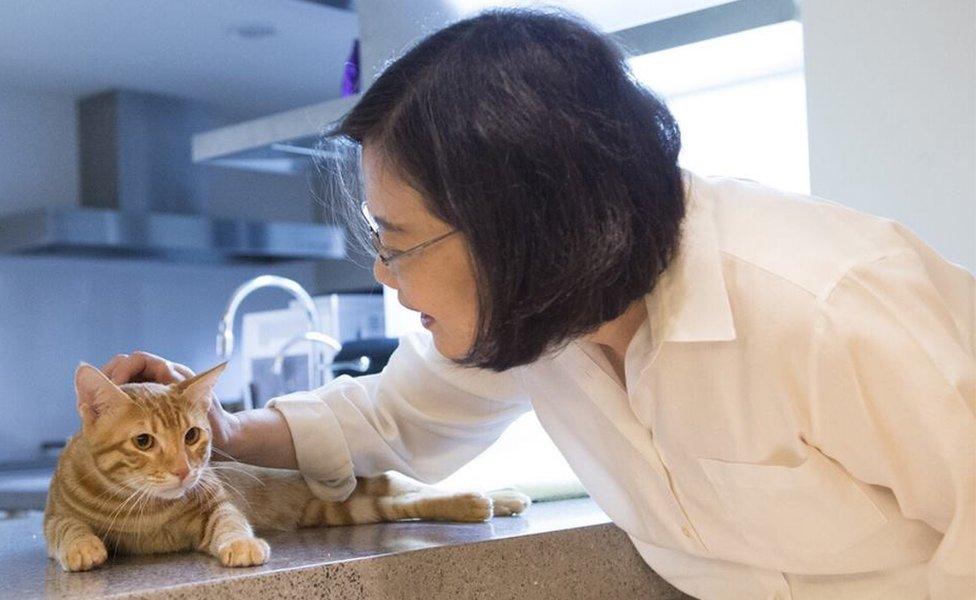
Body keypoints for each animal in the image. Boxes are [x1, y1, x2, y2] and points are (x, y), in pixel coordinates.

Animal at [45, 360, 528, 572]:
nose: (183, 471)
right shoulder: (55, 515)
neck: (145, 508)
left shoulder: (215, 502)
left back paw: (501, 496)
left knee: (415, 488)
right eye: (144, 441)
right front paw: (82, 548)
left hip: (359, 491)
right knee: (407, 501)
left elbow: (230, 522)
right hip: (347, 509)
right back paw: (479, 503)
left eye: (192, 436)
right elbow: (68, 527)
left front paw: (242, 544)